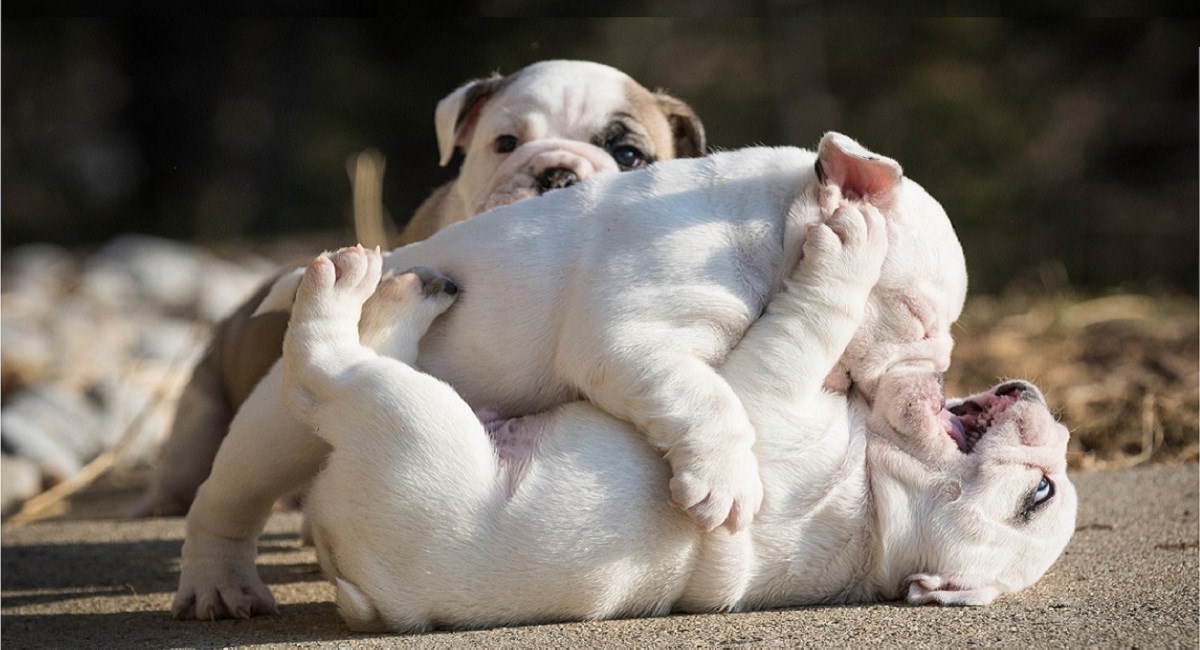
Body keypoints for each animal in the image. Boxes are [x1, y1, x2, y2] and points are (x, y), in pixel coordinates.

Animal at [171, 133, 964, 623]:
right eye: (919, 319)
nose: (939, 379)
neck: (769, 229)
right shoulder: (633, 336)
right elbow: (709, 398)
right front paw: (726, 481)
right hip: (273, 430)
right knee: (229, 497)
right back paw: (220, 583)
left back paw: (402, 294)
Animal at [280, 227, 1080, 633]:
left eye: (1038, 495)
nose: (1054, 420)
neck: (883, 503)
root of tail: (358, 583)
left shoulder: (767, 383)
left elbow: (814, 315)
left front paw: (848, 248)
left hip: (412, 421)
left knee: (328, 367)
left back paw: (354, 287)